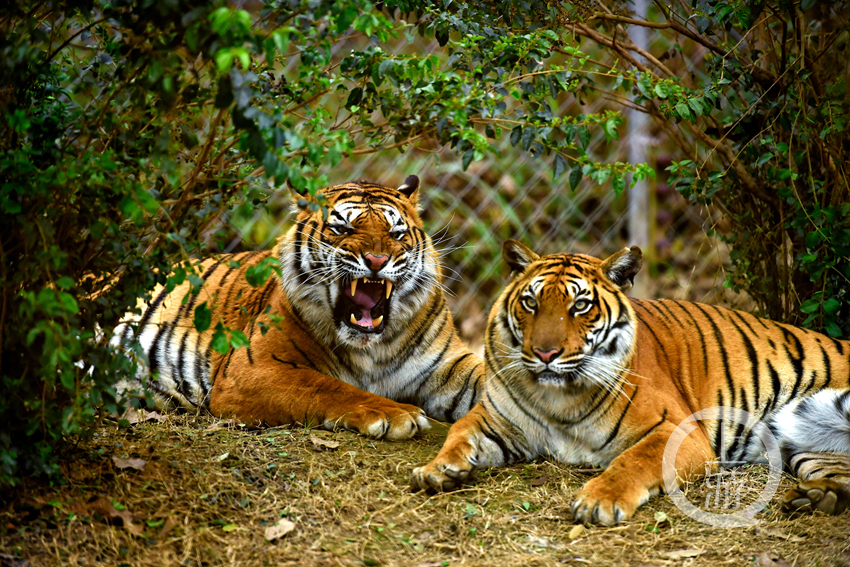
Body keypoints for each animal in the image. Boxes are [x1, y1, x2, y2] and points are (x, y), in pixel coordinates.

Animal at [112, 176, 484, 440]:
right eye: (341, 228)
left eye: (396, 233)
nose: (377, 260)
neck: (373, 350)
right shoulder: (252, 370)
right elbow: (330, 387)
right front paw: (396, 414)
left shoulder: (448, 365)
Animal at [410, 239, 848, 524]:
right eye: (531, 302)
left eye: (580, 305)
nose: (546, 353)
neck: (557, 397)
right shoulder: (499, 421)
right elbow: (460, 431)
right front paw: (438, 469)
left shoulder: (678, 431)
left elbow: (631, 461)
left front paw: (597, 501)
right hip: (804, 445)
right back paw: (817, 498)